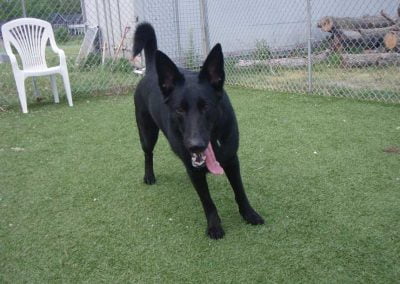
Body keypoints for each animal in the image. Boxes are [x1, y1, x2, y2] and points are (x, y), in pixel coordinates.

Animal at [132, 22, 262, 240]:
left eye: (206, 107)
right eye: (180, 109)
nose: (195, 146)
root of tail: (150, 71)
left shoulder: (231, 159)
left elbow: (240, 191)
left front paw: (249, 214)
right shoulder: (195, 169)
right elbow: (207, 201)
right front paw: (214, 226)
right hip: (147, 133)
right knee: (148, 154)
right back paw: (149, 176)